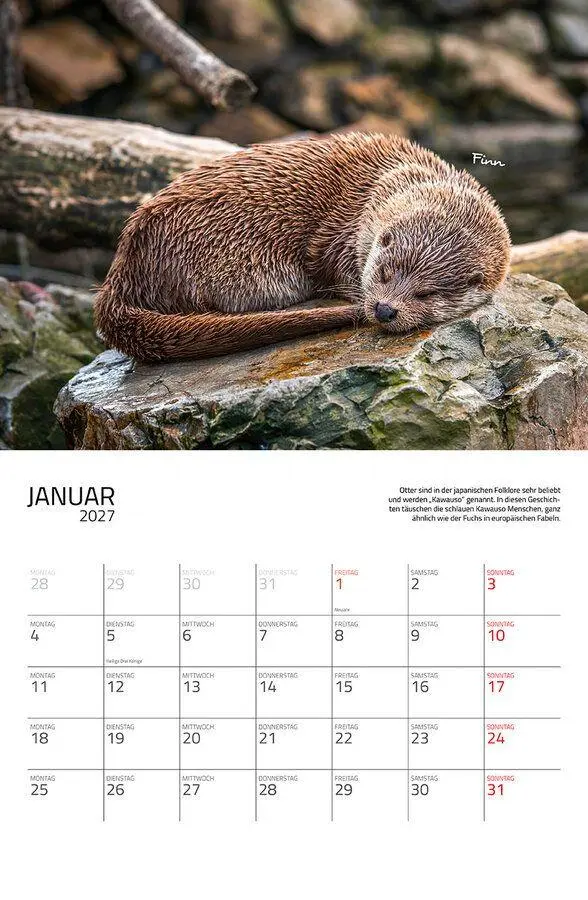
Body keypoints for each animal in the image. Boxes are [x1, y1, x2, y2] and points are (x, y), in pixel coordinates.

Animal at [95, 132, 511, 362]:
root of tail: (124, 265)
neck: (386, 180)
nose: (384, 309)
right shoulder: (337, 232)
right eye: (383, 272)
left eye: (426, 294)